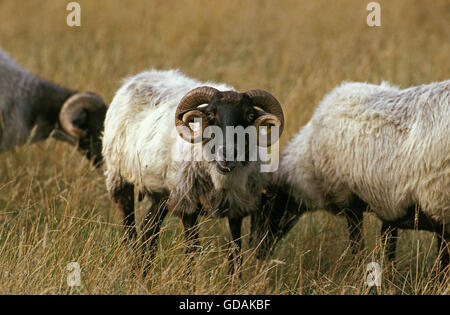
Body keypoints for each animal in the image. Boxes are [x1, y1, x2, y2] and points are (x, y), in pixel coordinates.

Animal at [103, 69, 284, 274]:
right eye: (210, 114)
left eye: (250, 115)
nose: (228, 153)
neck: (219, 177)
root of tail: (139, 77)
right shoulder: (187, 204)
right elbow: (192, 250)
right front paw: (188, 279)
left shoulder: (236, 208)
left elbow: (235, 253)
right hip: (118, 175)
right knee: (130, 228)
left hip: (162, 193)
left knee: (149, 232)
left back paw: (144, 272)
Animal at [251, 79, 450, 272]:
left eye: (264, 204)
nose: (254, 251)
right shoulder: (390, 207)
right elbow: (388, 250)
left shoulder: (350, 201)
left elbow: (358, 248)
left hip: (439, 201)